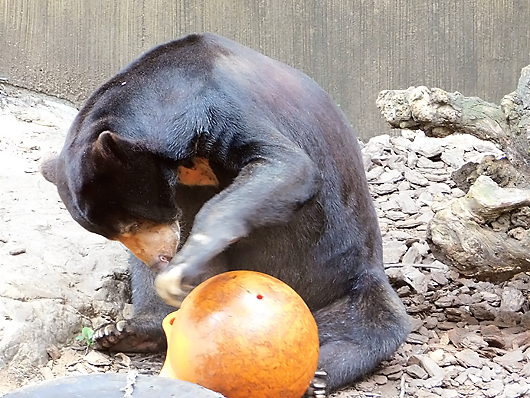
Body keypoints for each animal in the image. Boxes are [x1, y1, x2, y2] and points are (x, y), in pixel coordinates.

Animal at [43, 33, 410, 394]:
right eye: (116, 234)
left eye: (134, 220)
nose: (161, 259)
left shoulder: (226, 108)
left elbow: (288, 165)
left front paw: (185, 265)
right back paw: (126, 332)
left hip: (350, 274)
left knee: (371, 324)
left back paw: (318, 373)